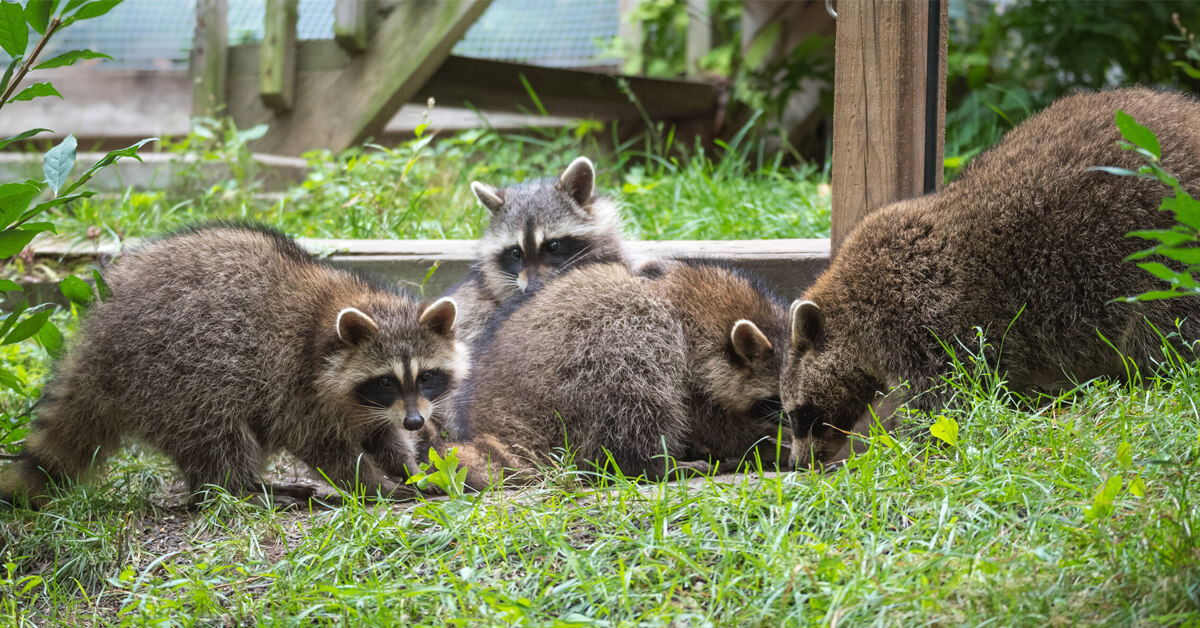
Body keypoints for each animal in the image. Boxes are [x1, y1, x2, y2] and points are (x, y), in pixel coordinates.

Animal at [0, 223, 468, 508]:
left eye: (426, 377)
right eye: (386, 381)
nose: (415, 421)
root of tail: (95, 343)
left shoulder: (369, 405)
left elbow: (381, 436)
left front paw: (408, 469)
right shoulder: (296, 381)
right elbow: (326, 448)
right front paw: (374, 484)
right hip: (171, 371)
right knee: (216, 433)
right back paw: (242, 490)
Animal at [450, 260, 788, 488]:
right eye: (777, 401)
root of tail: (497, 420)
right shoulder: (690, 371)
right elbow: (718, 426)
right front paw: (764, 445)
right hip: (597, 358)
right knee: (637, 401)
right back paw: (658, 465)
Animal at [782, 88, 1200, 467]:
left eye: (800, 415)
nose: (796, 464)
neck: (848, 300)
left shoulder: (924, 314)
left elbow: (949, 397)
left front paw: (912, 448)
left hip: (1165, 254)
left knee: (1163, 329)